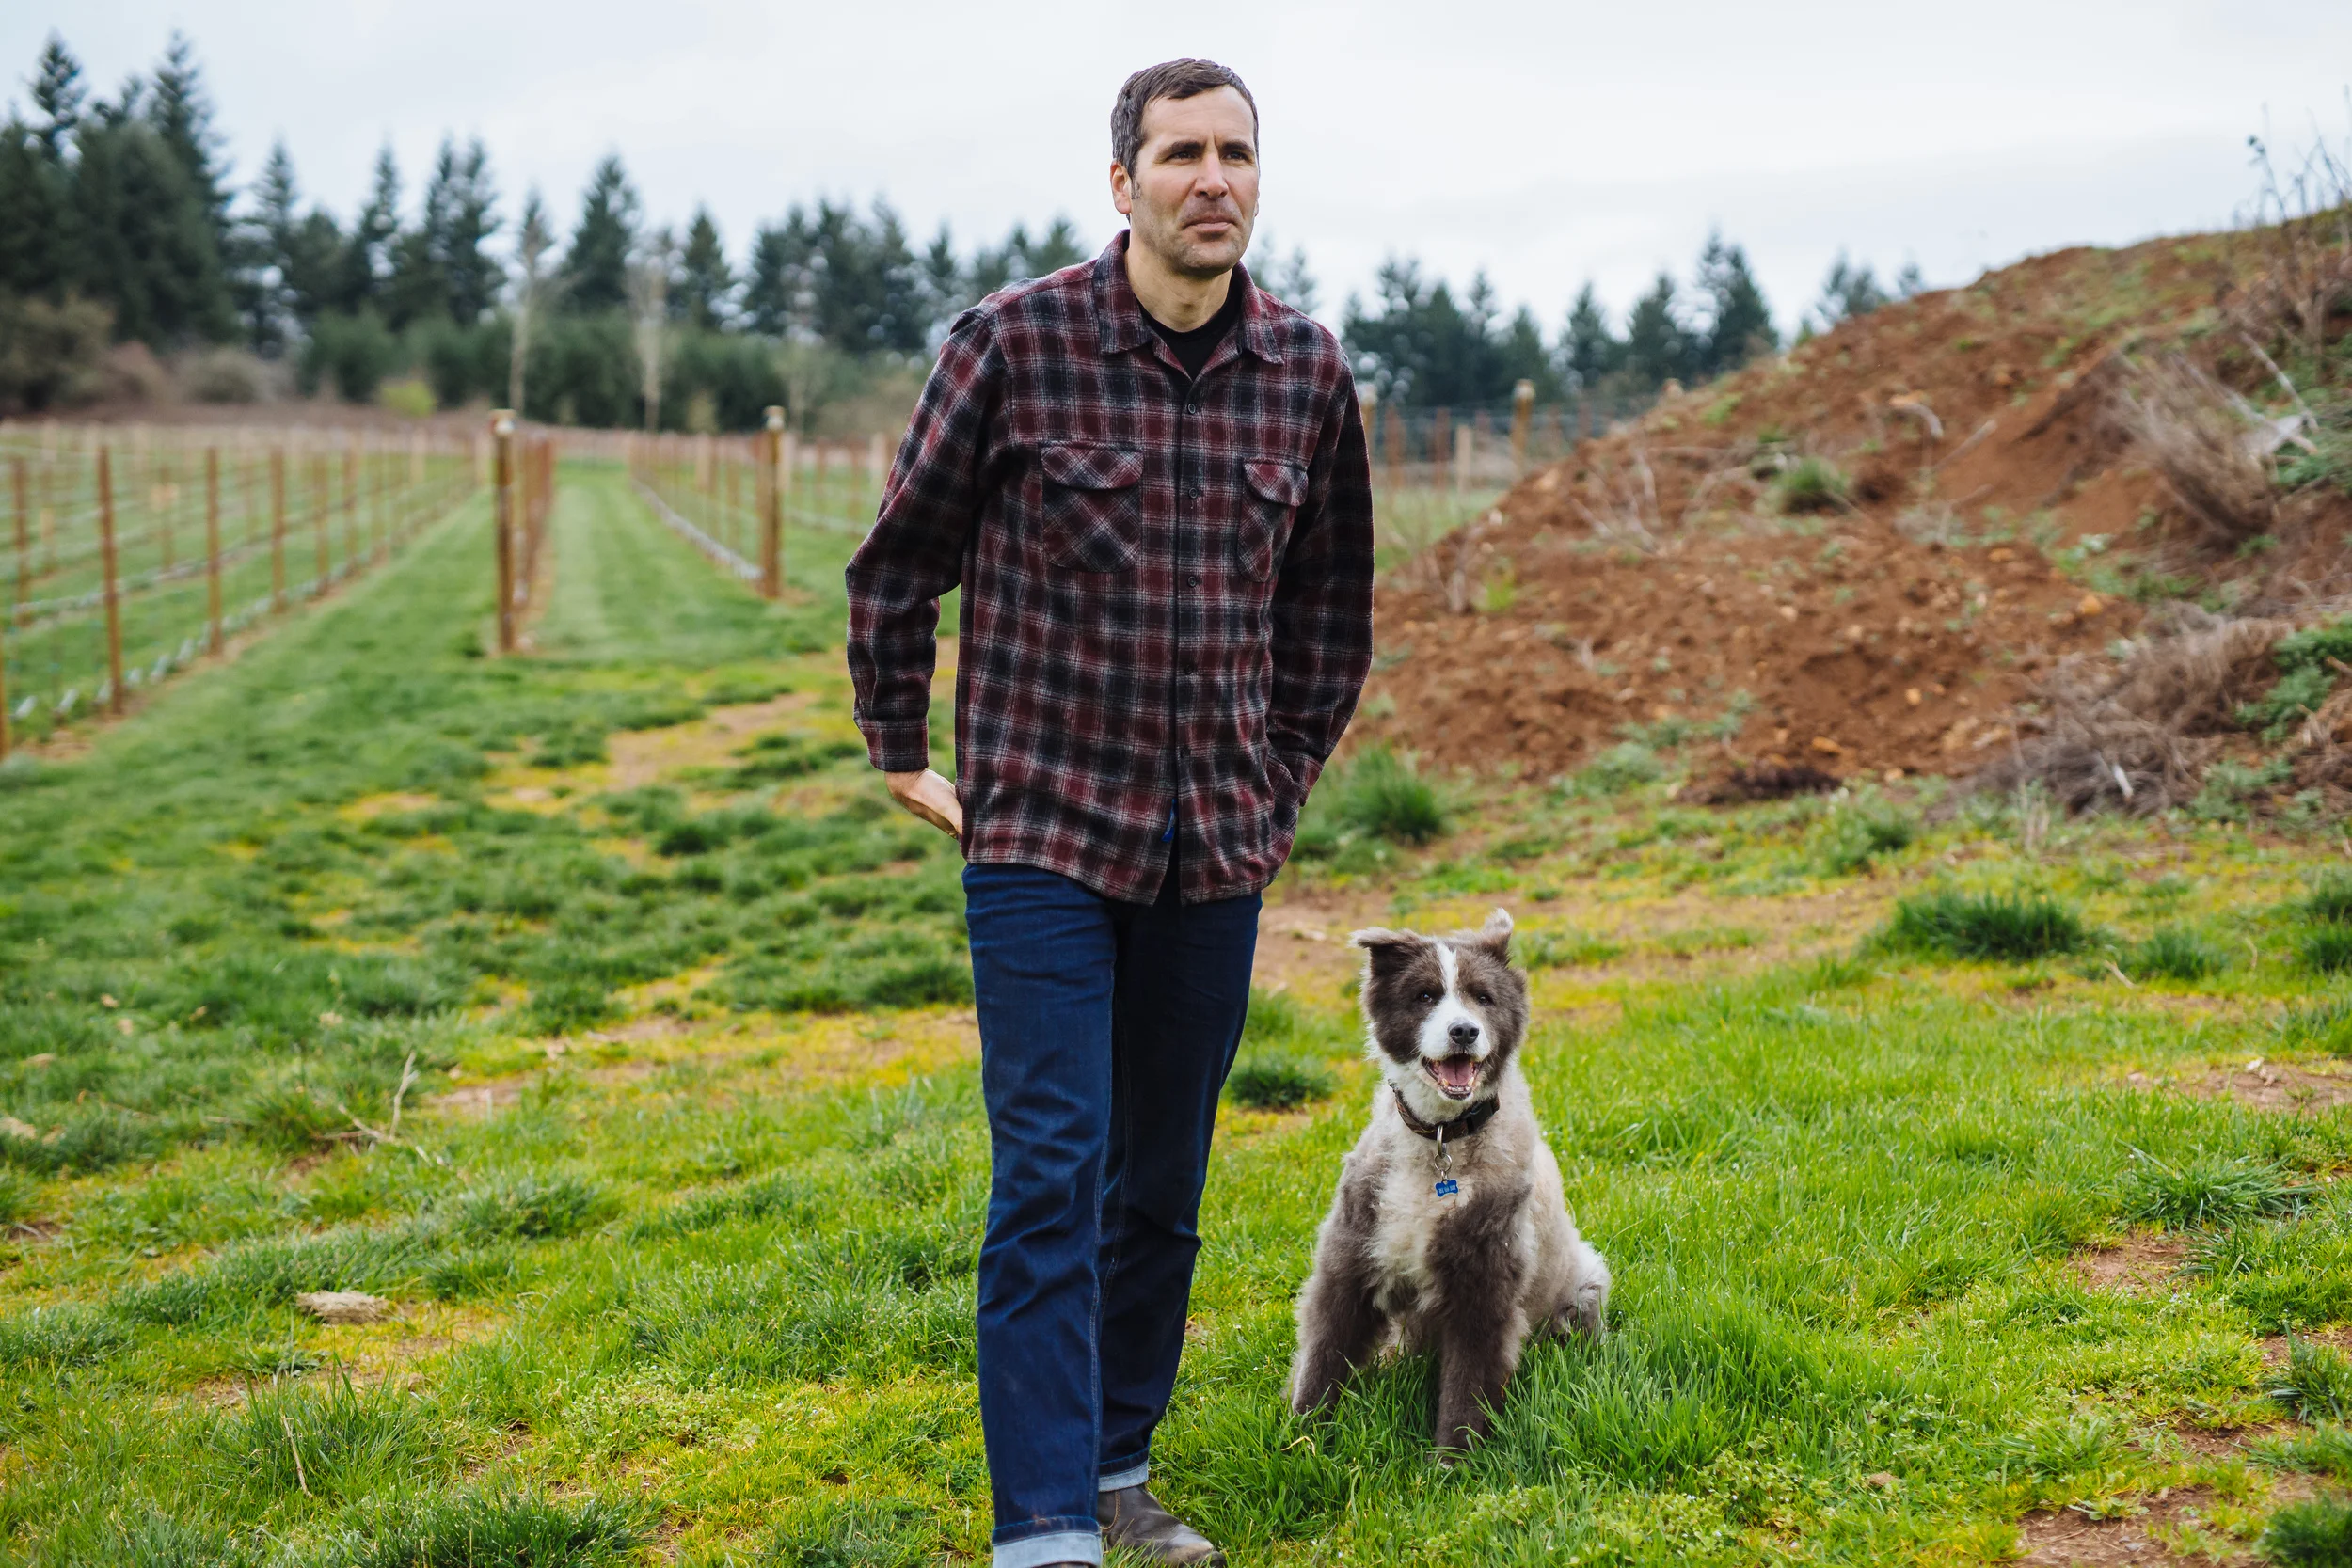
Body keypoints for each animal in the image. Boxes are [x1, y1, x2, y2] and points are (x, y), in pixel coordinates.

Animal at [1298, 911, 1609, 1457]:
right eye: (1425, 996)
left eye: (1482, 997)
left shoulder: (1482, 1290)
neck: (1442, 1141)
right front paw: (1296, 1440)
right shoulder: (1350, 1263)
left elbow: (1467, 1389)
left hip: (1585, 1285)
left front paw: (1452, 1464)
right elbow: (1322, 1358)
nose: (1464, 1030)